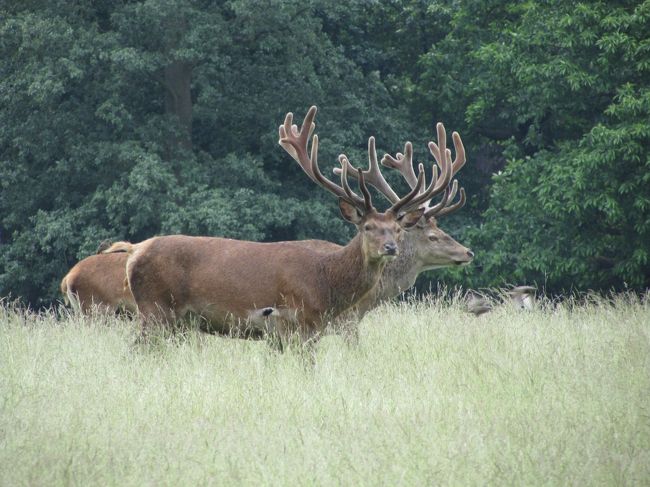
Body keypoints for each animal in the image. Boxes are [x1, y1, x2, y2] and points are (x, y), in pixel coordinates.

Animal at [104, 106, 428, 346]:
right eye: (367, 227)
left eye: (398, 229)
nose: (390, 247)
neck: (325, 283)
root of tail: (134, 250)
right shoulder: (297, 321)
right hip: (154, 309)